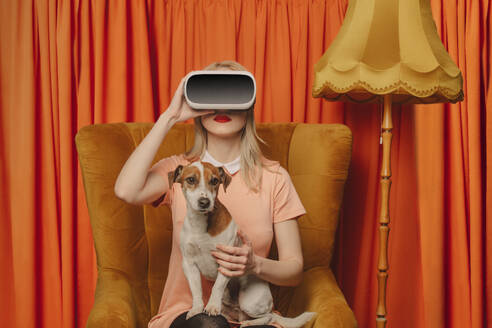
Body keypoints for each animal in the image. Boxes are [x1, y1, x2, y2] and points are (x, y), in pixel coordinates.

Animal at [167, 160, 318, 326]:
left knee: (269, 316)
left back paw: (250, 323)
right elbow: (196, 290)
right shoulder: (189, 264)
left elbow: (217, 286)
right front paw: (197, 308)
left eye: (214, 181)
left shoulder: (227, 261)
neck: (201, 224)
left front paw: (212, 306)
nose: (205, 202)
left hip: (249, 302)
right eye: (191, 180)